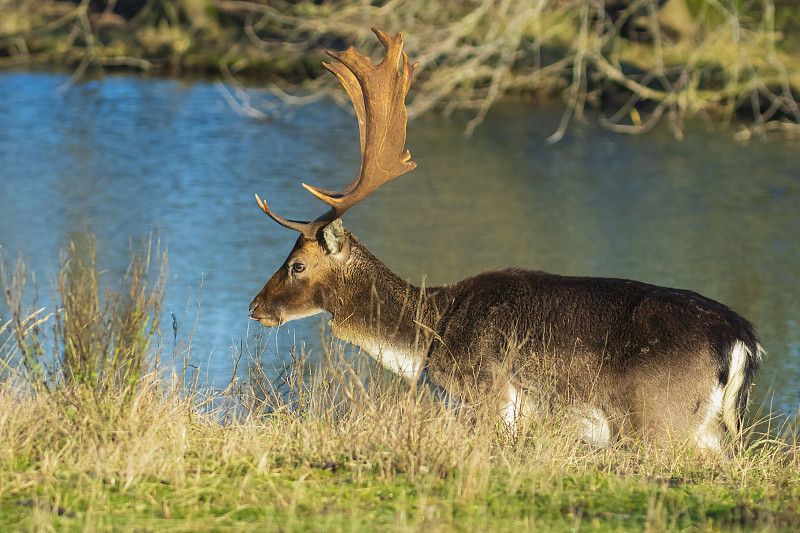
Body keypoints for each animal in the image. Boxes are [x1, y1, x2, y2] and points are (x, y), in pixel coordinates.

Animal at [248, 28, 764, 454]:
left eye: (297, 264)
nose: (254, 308)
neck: (428, 343)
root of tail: (743, 340)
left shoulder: (489, 394)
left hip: (659, 418)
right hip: (711, 428)